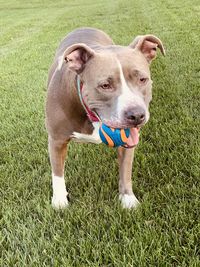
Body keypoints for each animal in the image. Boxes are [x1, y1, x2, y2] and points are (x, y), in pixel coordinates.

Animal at [45, 28, 164, 210]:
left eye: (143, 79)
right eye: (105, 85)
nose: (137, 115)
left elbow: (125, 170)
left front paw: (128, 198)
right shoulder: (56, 140)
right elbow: (57, 173)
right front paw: (59, 201)